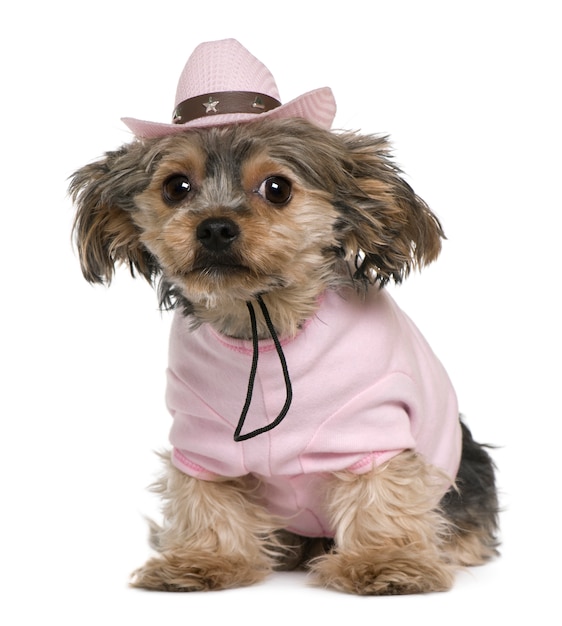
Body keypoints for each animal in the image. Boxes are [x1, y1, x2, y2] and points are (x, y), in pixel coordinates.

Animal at [69, 36, 494, 592]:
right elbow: (205, 497)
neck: (262, 321)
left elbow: (381, 490)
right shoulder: (202, 439)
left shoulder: (373, 425)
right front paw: (202, 559)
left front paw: (384, 561)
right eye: (176, 187)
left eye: (277, 188)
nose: (215, 227)